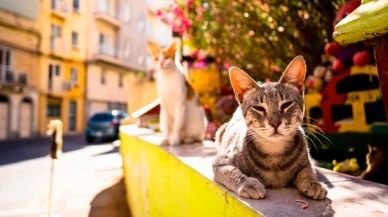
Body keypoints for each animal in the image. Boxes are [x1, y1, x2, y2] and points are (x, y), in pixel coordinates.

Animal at [212, 56, 328, 200]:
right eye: (259, 108)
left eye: (286, 105)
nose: (275, 122)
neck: (274, 153)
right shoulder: (221, 162)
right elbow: (232, 172)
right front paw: (248, 183)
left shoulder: (307, 161)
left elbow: (307, 170)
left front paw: (314, 183)